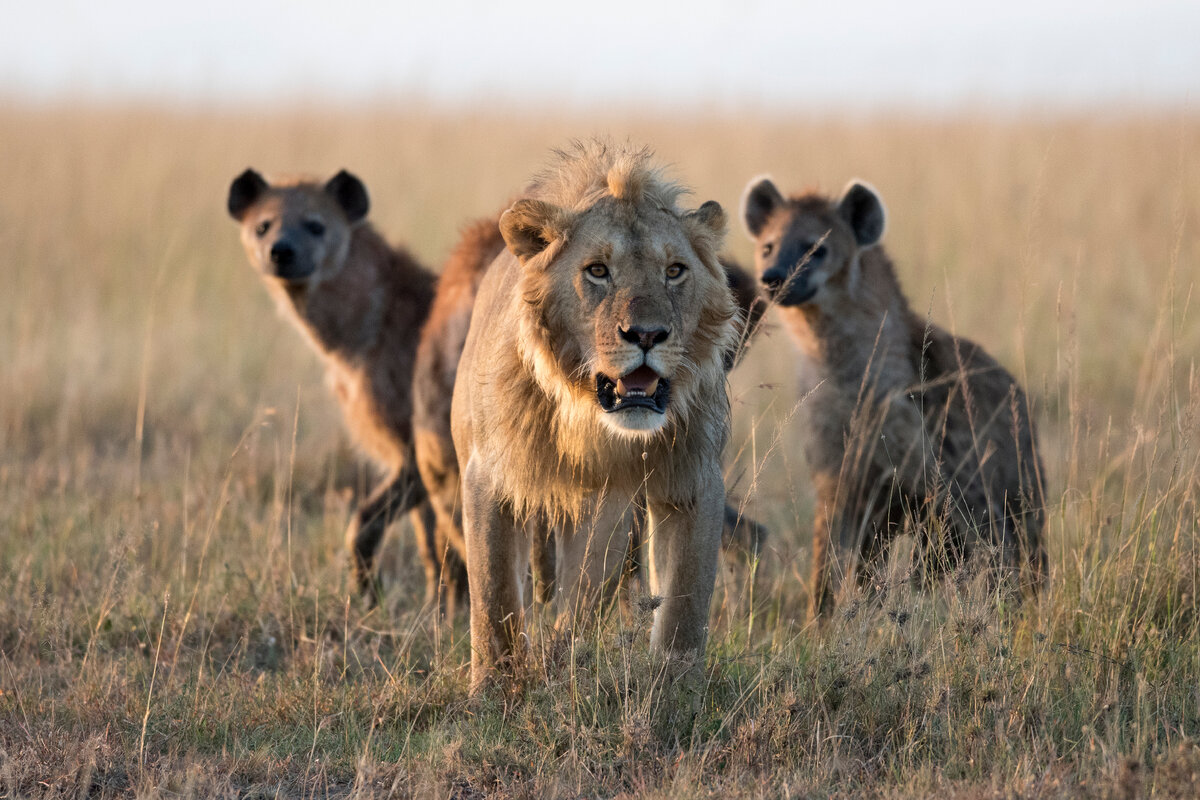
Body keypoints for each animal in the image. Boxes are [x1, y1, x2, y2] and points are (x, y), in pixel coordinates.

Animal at [448, 142, 734, 690]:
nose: (646, 334)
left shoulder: (690, 479)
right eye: (598, 270)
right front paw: (492, 689)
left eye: (674, 271)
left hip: (608, 518)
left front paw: (677, 691)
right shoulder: (488, 475)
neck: (592, 424)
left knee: (579, 603)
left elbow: (685, 605)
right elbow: (493, 597)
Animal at [734, 178, 1046, 623]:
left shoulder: (951, 483)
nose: (773, 277)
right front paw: (818, 625)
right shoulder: (839, 479)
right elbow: (827, 563)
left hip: (1019, 491)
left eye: (817, 248)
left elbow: (975, 558)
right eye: (768, 246)